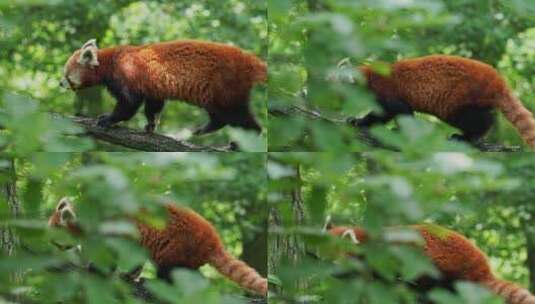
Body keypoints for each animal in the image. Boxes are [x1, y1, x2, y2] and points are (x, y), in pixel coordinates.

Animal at [48, 197, 268, 296]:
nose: (51, 244)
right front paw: (129, 275)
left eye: (56, 234)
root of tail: (213, 241)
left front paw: (96, 269)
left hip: (179, 247)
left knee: (169, 271)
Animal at [60, 38, 266, 134]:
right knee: (220, 114)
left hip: (224, 86)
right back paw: (206, 128)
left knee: (237, 115)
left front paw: (108, 119)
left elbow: (129, 104)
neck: (109, 62)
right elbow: (153, 105)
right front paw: (151, 124)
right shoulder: (153, 87)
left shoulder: (127, 74)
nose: (60, 83)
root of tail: (248, 61)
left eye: (66, 75)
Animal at [352, 55, 535, 150]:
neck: (369, 76)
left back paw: (469, 137)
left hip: (460, 100)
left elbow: (395, 110)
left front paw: (361, 122)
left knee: (477, 120)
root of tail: (497, 79)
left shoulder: (386, 91)